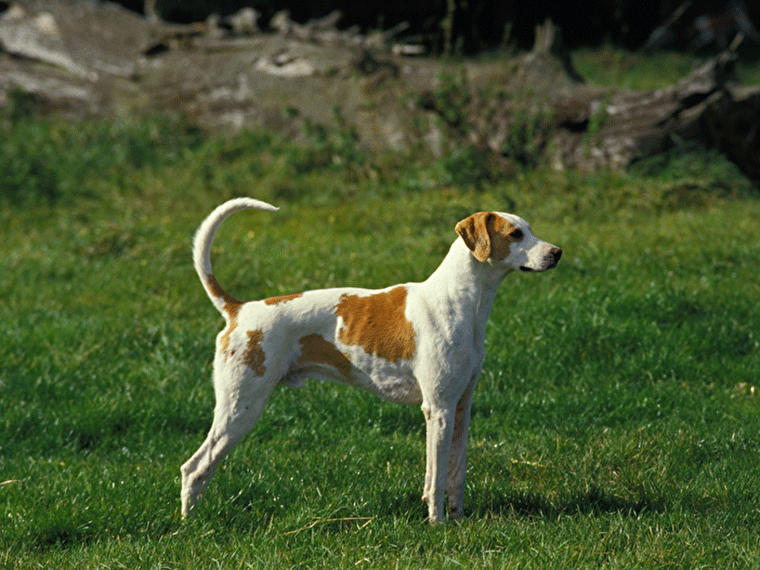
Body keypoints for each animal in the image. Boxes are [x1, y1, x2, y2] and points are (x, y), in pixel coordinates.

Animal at [178, 197, 560, 520]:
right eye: (515, 234)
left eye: (529, 228)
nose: (557, 252)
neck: (458, 301)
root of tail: (238, 309)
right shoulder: (437, 410)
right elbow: (436, 480)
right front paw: (438, 525)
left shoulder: (460, 408)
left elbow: (456, 477)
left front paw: (458, 520)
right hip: (241, 407)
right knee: (194, 468)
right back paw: (190, 525)